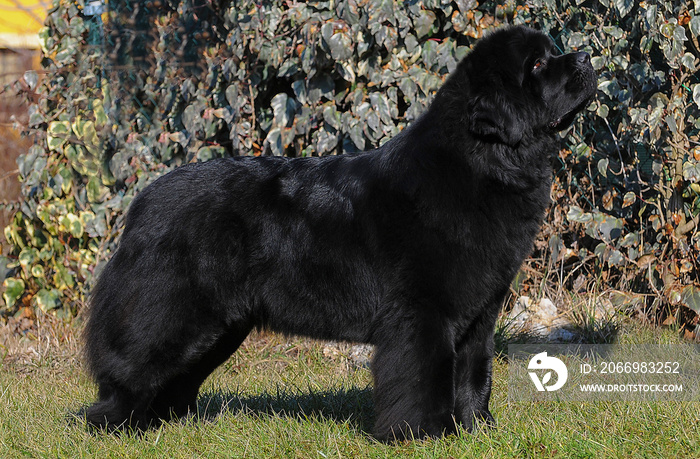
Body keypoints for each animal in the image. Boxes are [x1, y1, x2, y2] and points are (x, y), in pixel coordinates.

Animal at [83, 26, 596, 442]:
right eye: (537, 65)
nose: (586, 56)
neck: (485, 162)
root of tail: (145, 200)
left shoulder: (480, 311)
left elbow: (474, 374)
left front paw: (478, 431)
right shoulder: (423, 310)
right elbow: (422, 375)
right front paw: (423, 435)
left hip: (221, 326)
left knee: (179, 378)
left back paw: (172, 426)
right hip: (176, 314)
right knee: (131, 370)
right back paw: (116, 427)